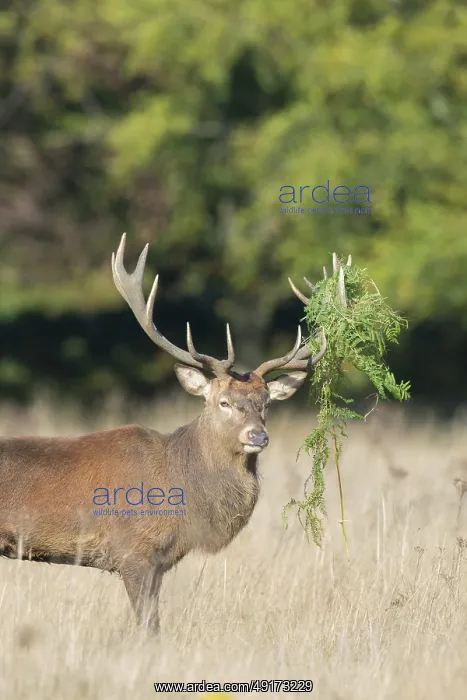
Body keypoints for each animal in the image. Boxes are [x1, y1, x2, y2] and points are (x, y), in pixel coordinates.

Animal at [0, 233, 326, 634]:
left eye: (266, 402)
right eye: (223, 402)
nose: (257, 437)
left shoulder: (159, 562)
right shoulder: (132, 550)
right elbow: (148, 627)